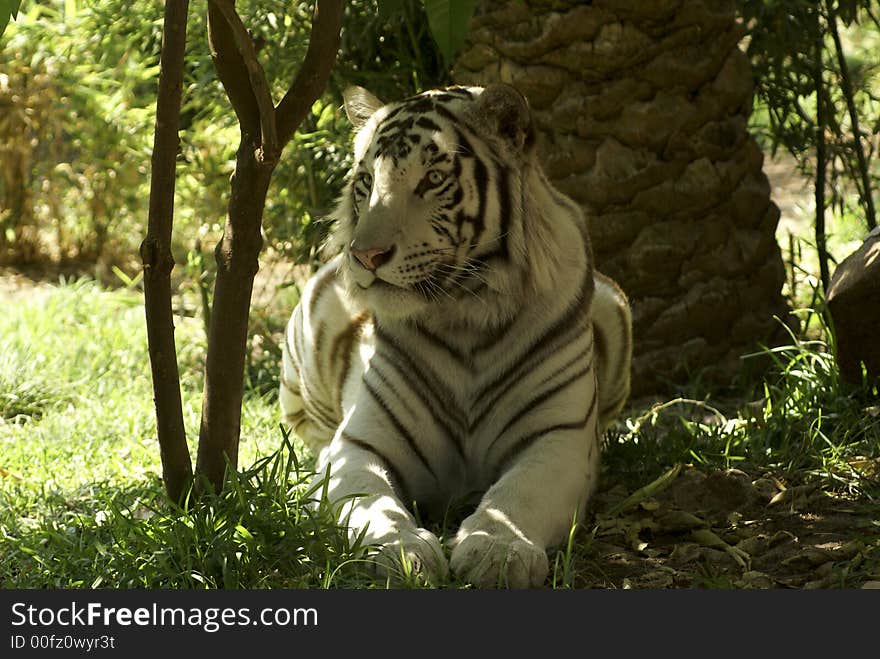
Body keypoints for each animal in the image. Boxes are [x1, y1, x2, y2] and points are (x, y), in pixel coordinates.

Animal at [278, 84, 628, 588]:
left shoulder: (558, 438)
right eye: (366, 181)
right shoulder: (360, 446)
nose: (365, 255)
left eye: (433, 178)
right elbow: (370, 505)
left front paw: (499, 552)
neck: (465, 313)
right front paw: (400, 552)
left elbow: (518, 496)